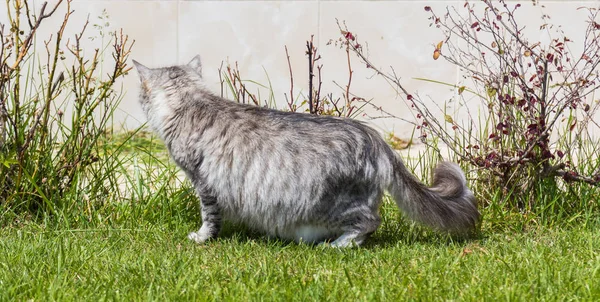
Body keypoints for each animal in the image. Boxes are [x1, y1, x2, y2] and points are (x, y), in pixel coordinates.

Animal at [134, 56, 480, 248]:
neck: (190, 103)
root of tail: (373, 137)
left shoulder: (203, 183)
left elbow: (209, 217)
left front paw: (202, 238)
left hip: (331, 201)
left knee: (369, 222)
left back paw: (339, 246)